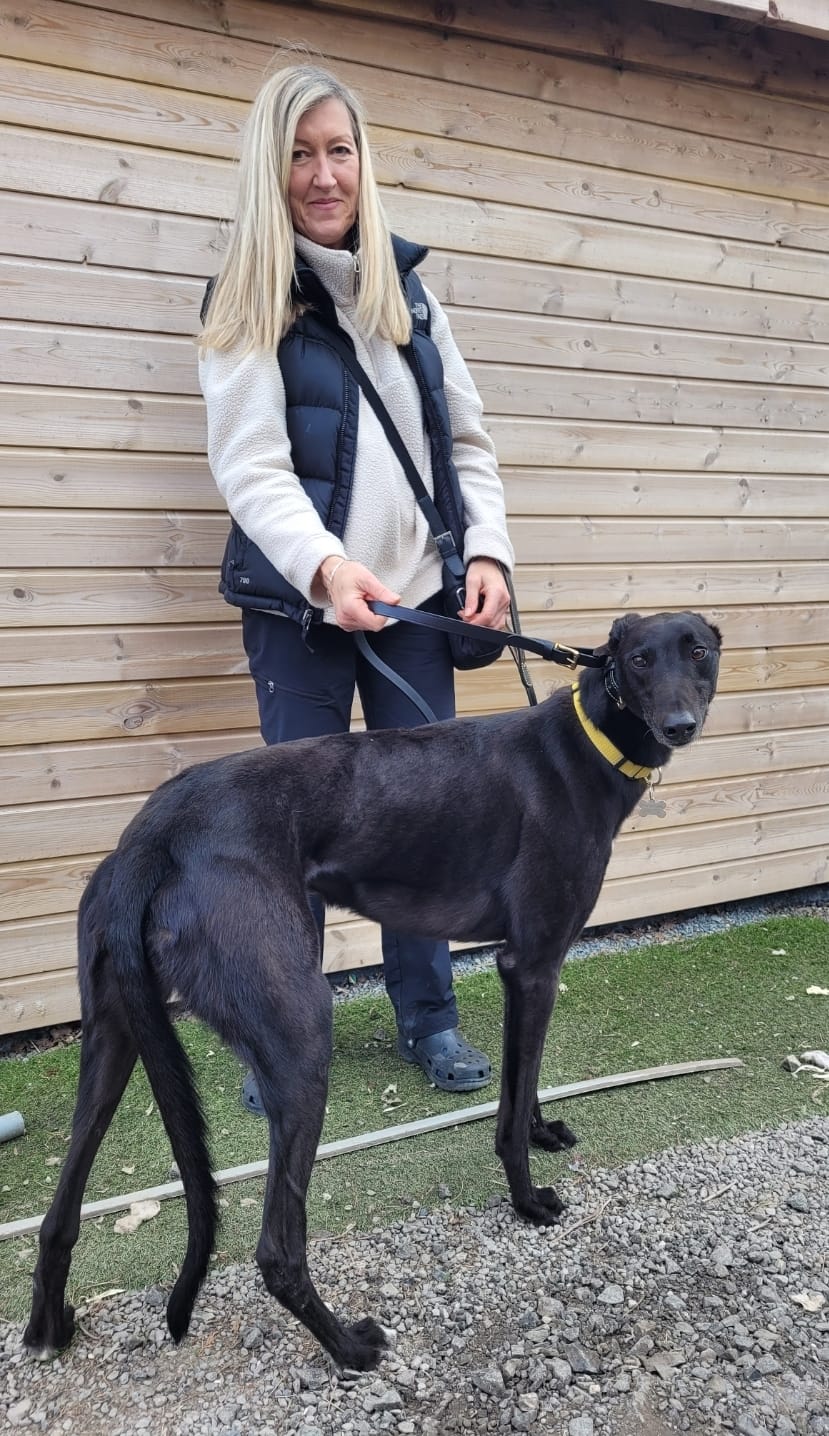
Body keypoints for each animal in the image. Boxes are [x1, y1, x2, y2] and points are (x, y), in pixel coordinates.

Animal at [24, 610, 720, 1372]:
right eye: (638, 659)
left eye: (699, 651)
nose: (680, 725)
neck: (583, 743)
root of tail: (149, 839)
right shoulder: (531, 963)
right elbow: (508, 1109)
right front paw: (527, 1197)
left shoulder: (528, 971)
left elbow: (526, 1077)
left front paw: (542, 1129)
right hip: (300, 1033)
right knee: (276, 1250)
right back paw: (349, 1347)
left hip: (114, 1034)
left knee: (59, 1215)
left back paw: (48, 1327)